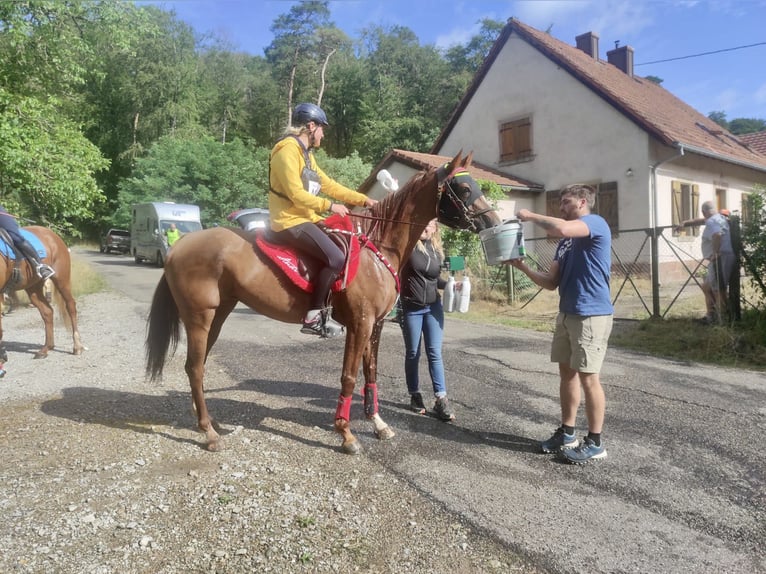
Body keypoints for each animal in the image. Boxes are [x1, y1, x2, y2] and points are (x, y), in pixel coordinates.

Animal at [0, 228, 85, 360]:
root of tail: (52, 234)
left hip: (62, 280)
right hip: (33, 287)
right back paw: (46, 349)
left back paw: (77, 346)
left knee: (71, 306)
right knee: (47, 312)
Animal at [146, 152, 500, 454]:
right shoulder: (360, 324)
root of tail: (179, 247)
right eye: (464, 187)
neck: (377, 248)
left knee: (199, 365)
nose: (492, 221)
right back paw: (208, 432)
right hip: (199, 317)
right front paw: (346, 433)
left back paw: (207, 422)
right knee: (194, 367)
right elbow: (349, 376)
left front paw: (378, 424)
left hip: (218, 315)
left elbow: (371, 373)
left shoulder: (376, 325)